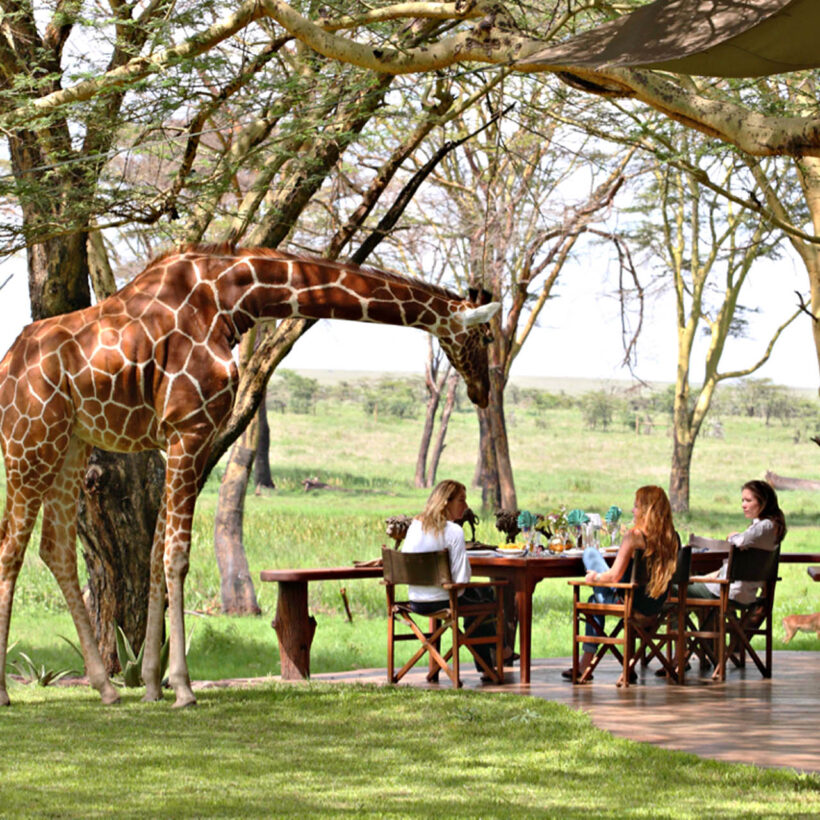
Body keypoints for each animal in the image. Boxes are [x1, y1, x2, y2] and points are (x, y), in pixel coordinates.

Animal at [0, 243, 499, 707]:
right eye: (484, 335)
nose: (482, 391)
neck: (232, 297)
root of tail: (7, 368)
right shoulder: (189, 430)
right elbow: (176, 556)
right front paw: (182, 688)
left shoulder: (175, 438)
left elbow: (156, 554)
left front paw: (151, 686)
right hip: (31, 441)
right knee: (12, 548)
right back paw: (7, 693)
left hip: (71, 444)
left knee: (55, 549)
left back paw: (105, 688)